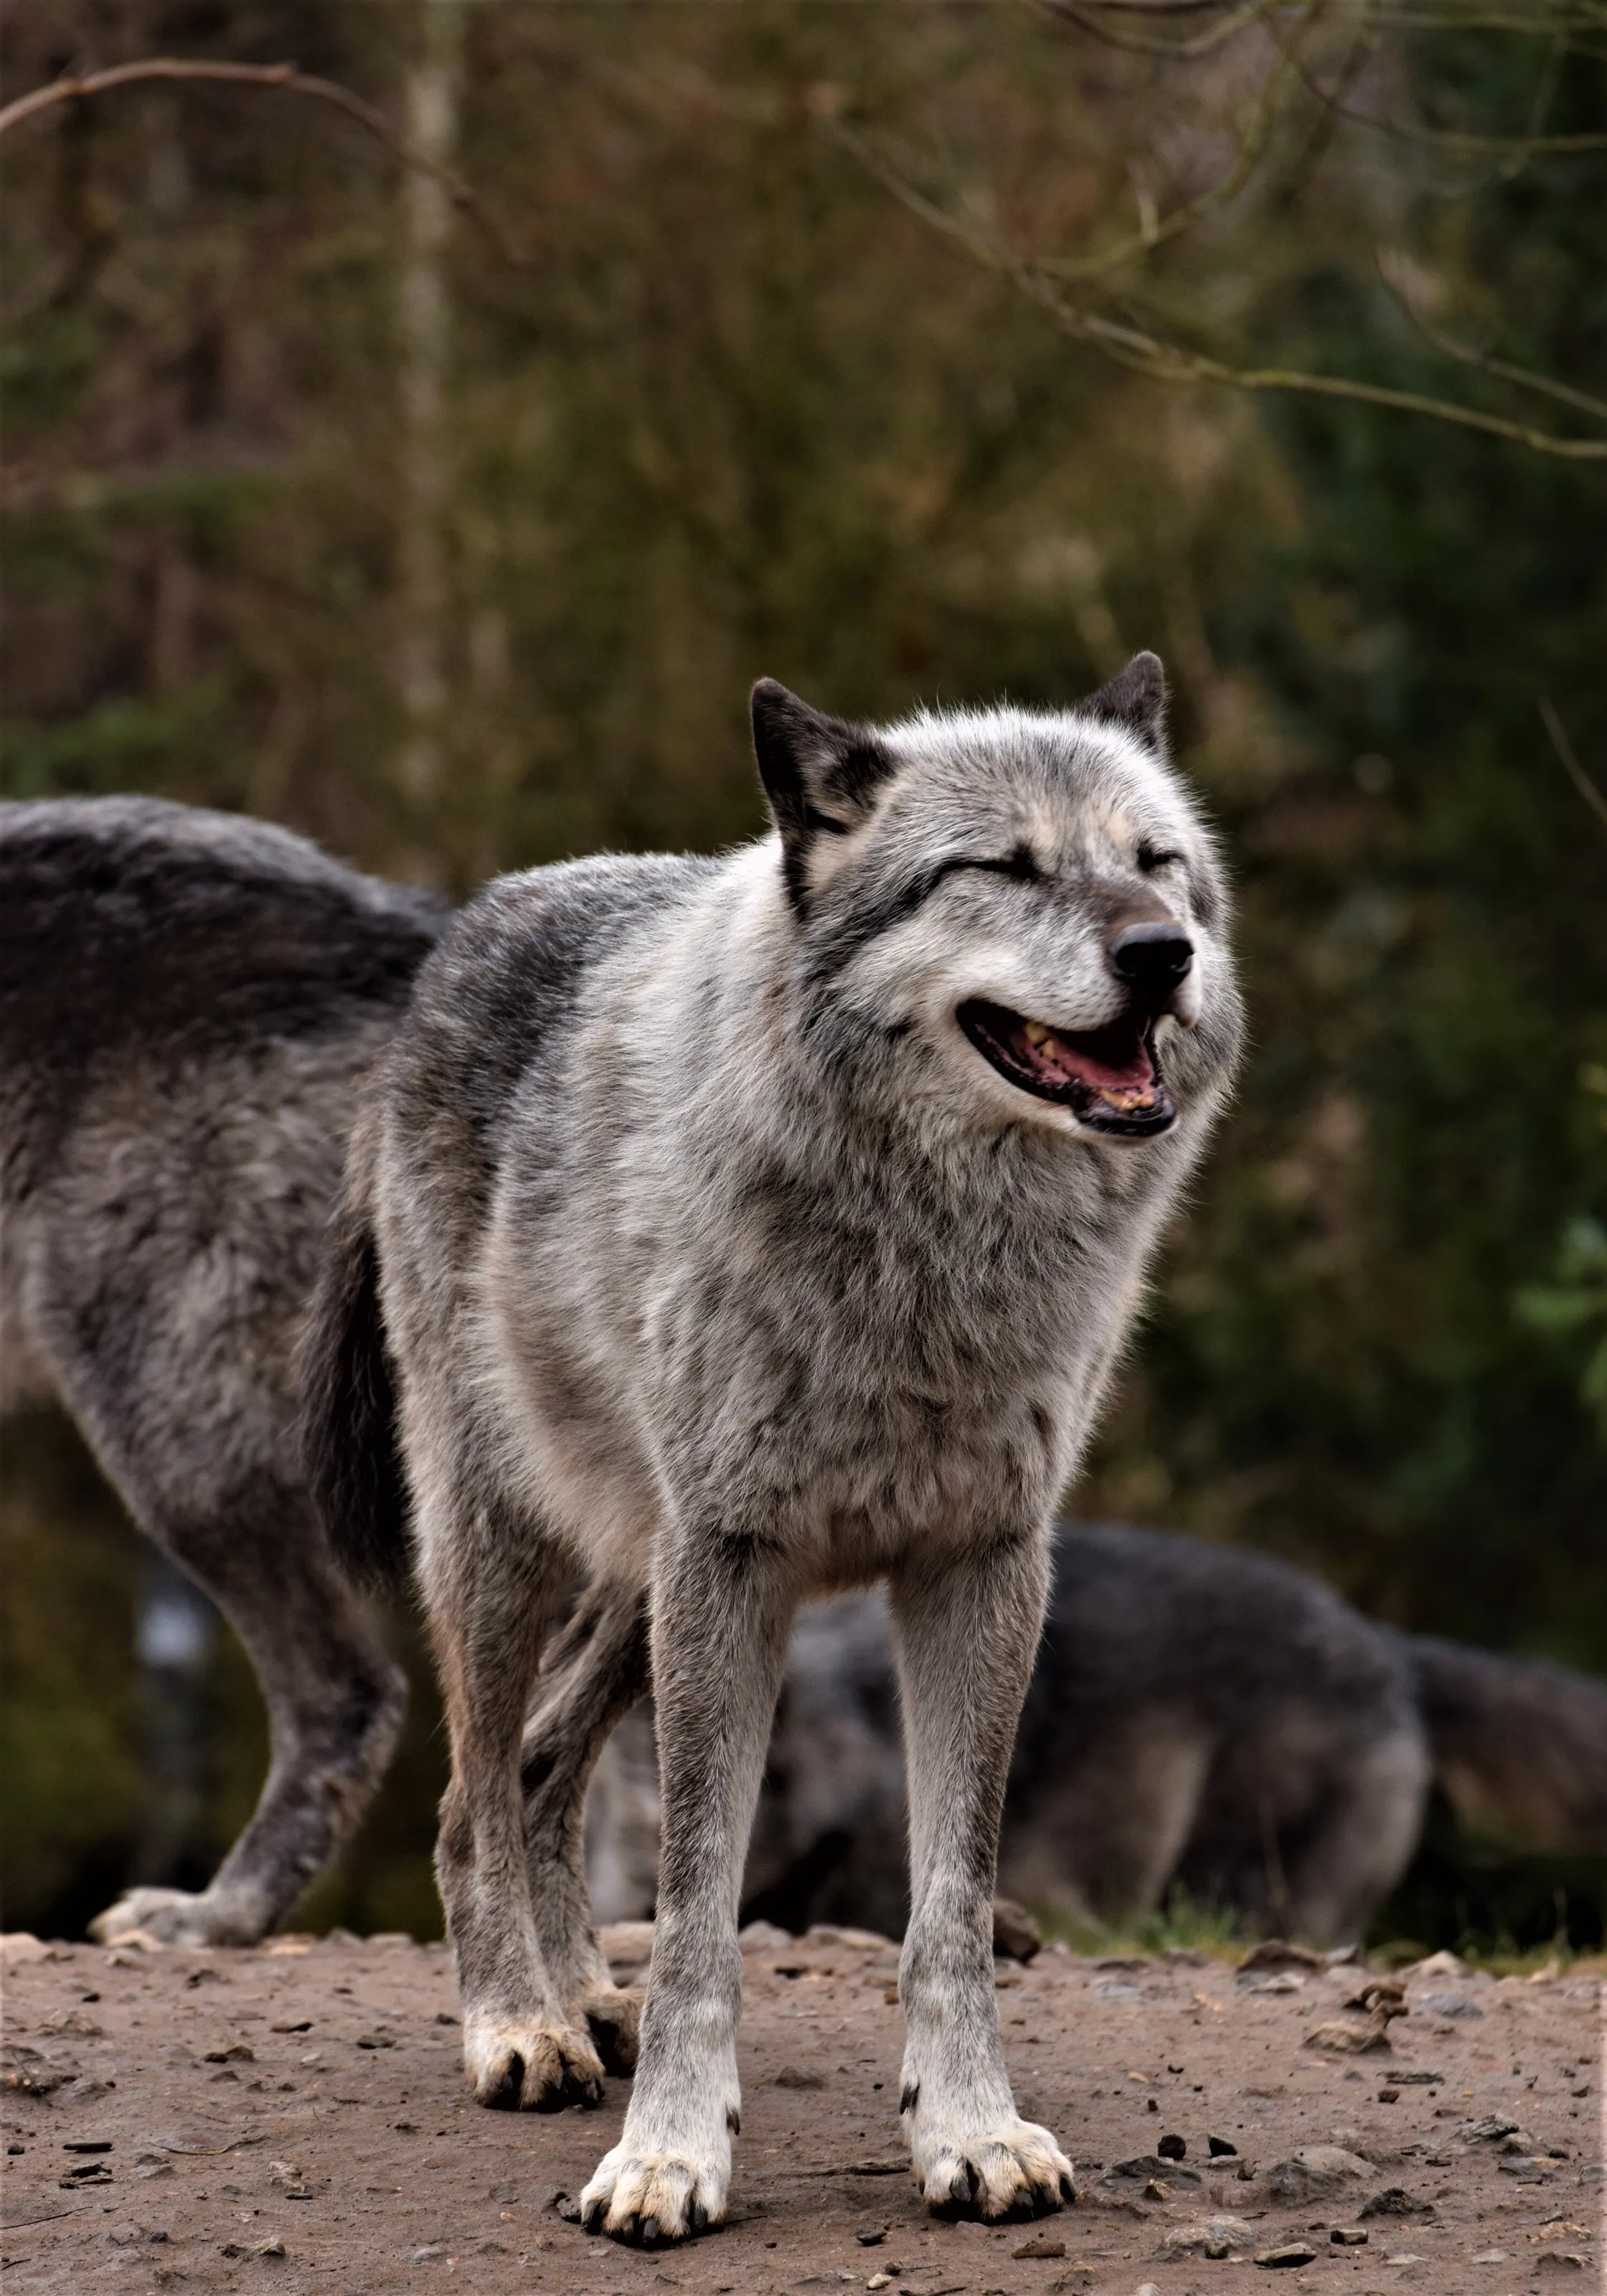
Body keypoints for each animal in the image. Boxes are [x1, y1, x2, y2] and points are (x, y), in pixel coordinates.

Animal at [303, 653, 1246, 2244]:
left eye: (1155, 860)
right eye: (1001, 867)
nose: (1161, 953)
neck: (930, 1258)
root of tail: (463, 933)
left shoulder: (983, 1565)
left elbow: (950, 1901)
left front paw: (968, 2133)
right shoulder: (733, 1565)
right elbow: (699, 1907)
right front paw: (667, 2159)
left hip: (640, 1585)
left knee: (543, 1767)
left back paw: (581, 2000)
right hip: (514, 1550)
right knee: (472, 1792)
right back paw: (520, 2028)